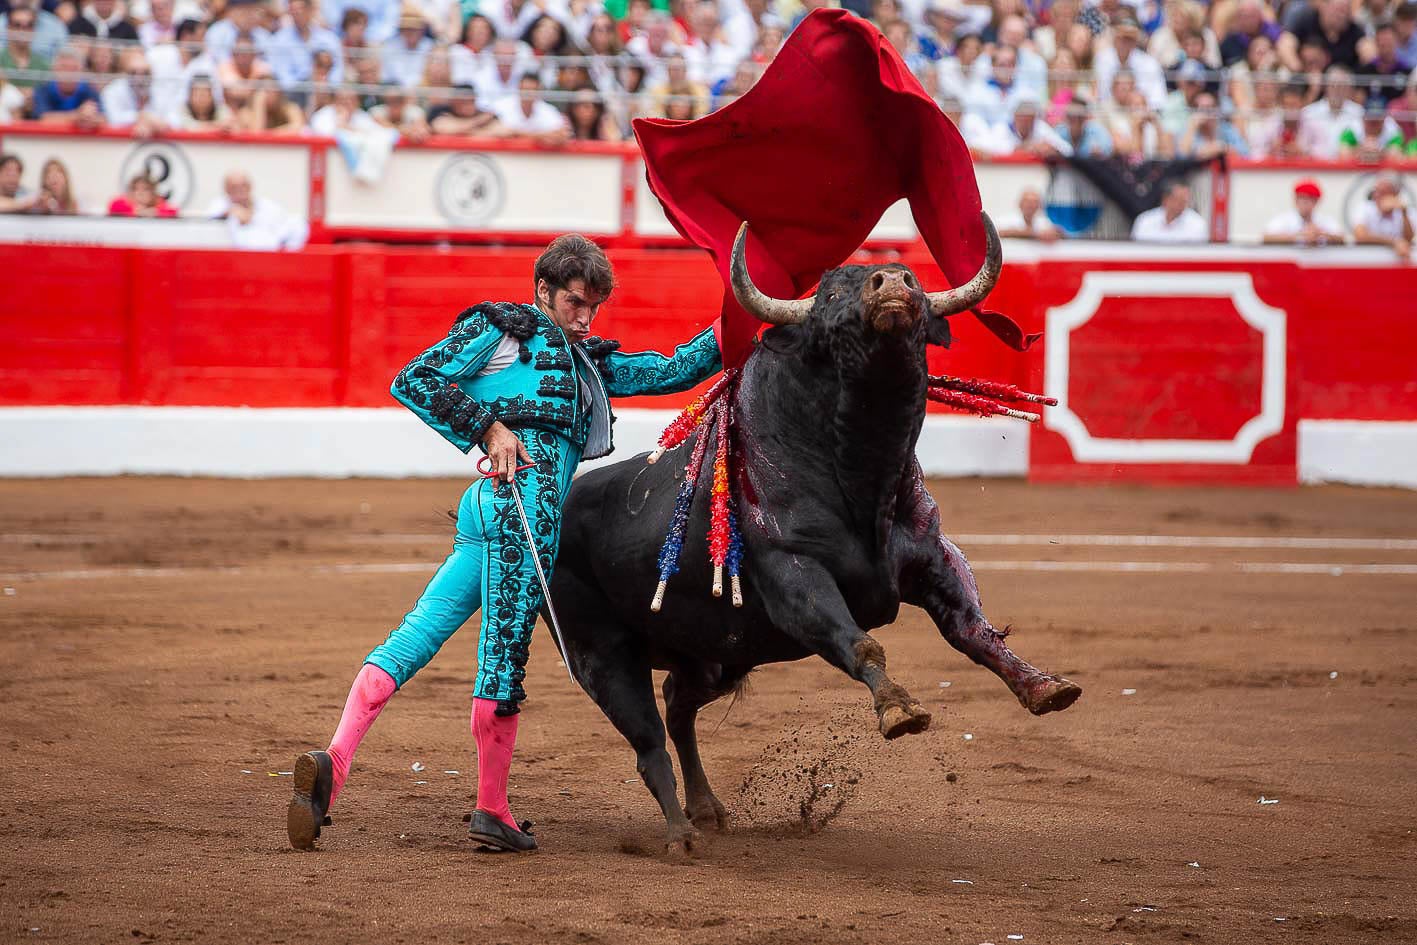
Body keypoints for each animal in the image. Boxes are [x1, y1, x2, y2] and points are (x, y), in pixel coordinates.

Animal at [546, 222, 1076, 855]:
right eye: (830, 295)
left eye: (914, 278)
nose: (892, 283)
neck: (861, 472)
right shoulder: (794, 576)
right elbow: (861, 643)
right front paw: (899, 710)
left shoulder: (934, 558)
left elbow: (973, 630)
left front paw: (1044, 687)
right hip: (599, 654)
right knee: (648, 742)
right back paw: (680, 835)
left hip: (716, 655)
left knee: (677, 706)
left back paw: (707, 810)